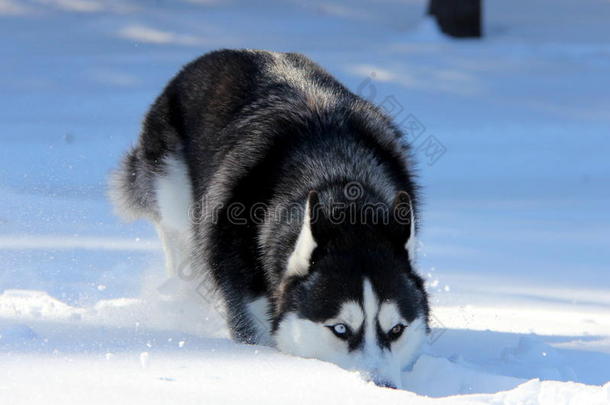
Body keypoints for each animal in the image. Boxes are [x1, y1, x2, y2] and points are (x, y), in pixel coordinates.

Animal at [109, 50, 428, 388]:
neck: (337, 180)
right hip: (171, 193)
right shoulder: (249, 310)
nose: (383, 387)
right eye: (340, 329)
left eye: (397, 330)